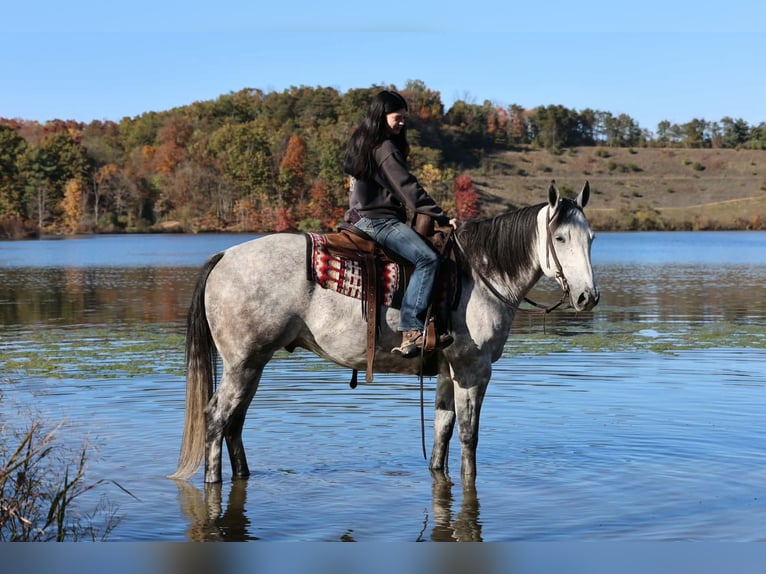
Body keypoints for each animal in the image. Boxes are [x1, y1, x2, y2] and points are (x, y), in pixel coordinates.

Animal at [170, 181, 599, 484]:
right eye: (560, 237)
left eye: (592, 238)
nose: (587, 296)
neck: (479, 273)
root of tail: (224, 255)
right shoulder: (473, 369)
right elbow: (468, 437)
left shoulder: (447, 370)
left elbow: (442, 432)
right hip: (243, 364)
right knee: (216, 419)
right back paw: (213, 481)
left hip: (252, 365)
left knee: (234, 423)